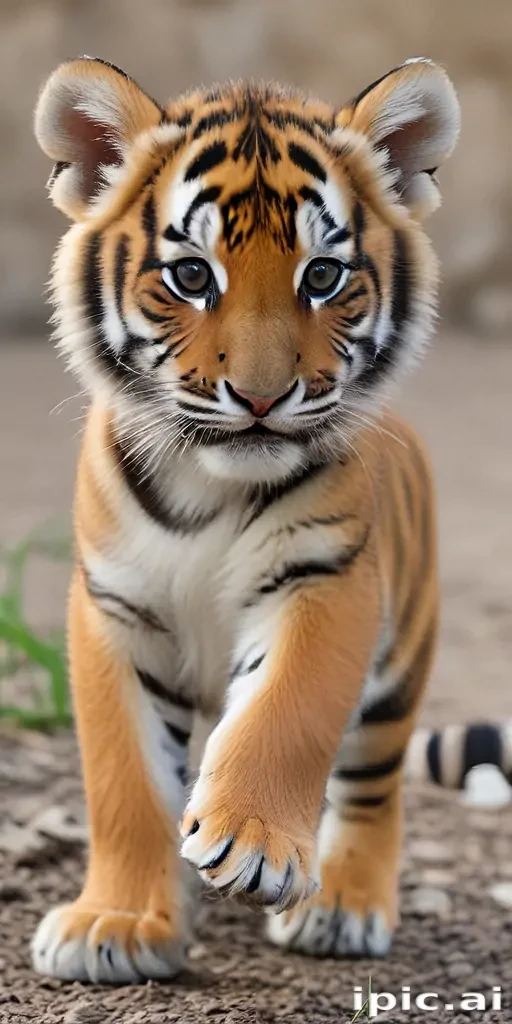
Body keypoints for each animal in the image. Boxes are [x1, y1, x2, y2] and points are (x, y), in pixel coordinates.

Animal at [31, 55, 461, 983]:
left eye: (322, 276)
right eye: (192, 276)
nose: (262, 399)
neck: (210, 488)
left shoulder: (327, 576)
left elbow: (286, 712)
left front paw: (254, 844)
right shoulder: (114, 608)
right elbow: (124, 779)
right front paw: (117, 922)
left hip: (399, 668)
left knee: (372, 788)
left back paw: (343, 908)